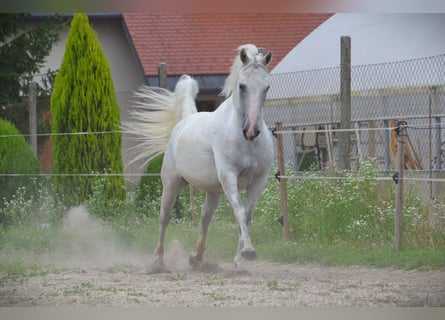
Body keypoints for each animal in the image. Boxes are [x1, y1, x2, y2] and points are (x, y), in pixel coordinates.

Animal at [126, 43, 272, 272]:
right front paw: (248, 252)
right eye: (242, 86)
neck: (246, 142)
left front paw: (239, 260)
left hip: (214, 191)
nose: (251, 131)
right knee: (164, 216)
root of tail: (184, 122)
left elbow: (246, 217)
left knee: (205, 217)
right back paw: (158, 261)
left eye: (267, 87)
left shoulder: (259, 180)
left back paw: (196, 257)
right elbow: (239, 212)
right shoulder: (229, 176)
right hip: (172, 182)